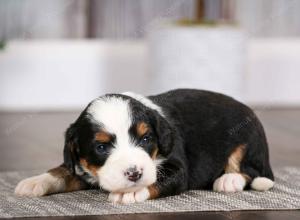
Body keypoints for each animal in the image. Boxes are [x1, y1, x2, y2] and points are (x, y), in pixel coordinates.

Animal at [14, 88, 274, 204]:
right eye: (101, 147)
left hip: (247, 139)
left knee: (251, 171)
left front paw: (131, 191)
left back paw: (229, 180)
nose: (134, 174)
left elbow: (159, 179)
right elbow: (62, 171)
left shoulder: (178, 168)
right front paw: (35, 182)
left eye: (146, 139)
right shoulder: (79, 164)